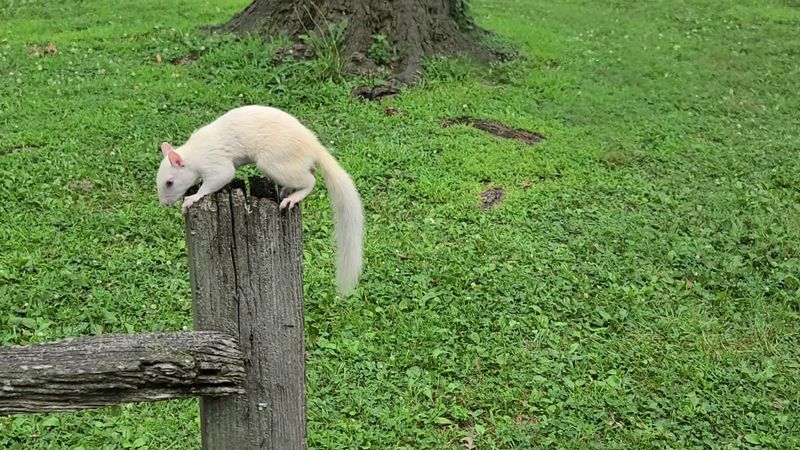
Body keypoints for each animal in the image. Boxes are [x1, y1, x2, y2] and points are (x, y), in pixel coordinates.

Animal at [156, 105, 364, 294]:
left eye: (169, 182)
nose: (164, 204)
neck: (193, 155)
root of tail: (314, 147)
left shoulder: (215, 163)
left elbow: (219, 178)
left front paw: (192, 198)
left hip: (274, 163)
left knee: (310, 180)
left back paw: (293, 196)